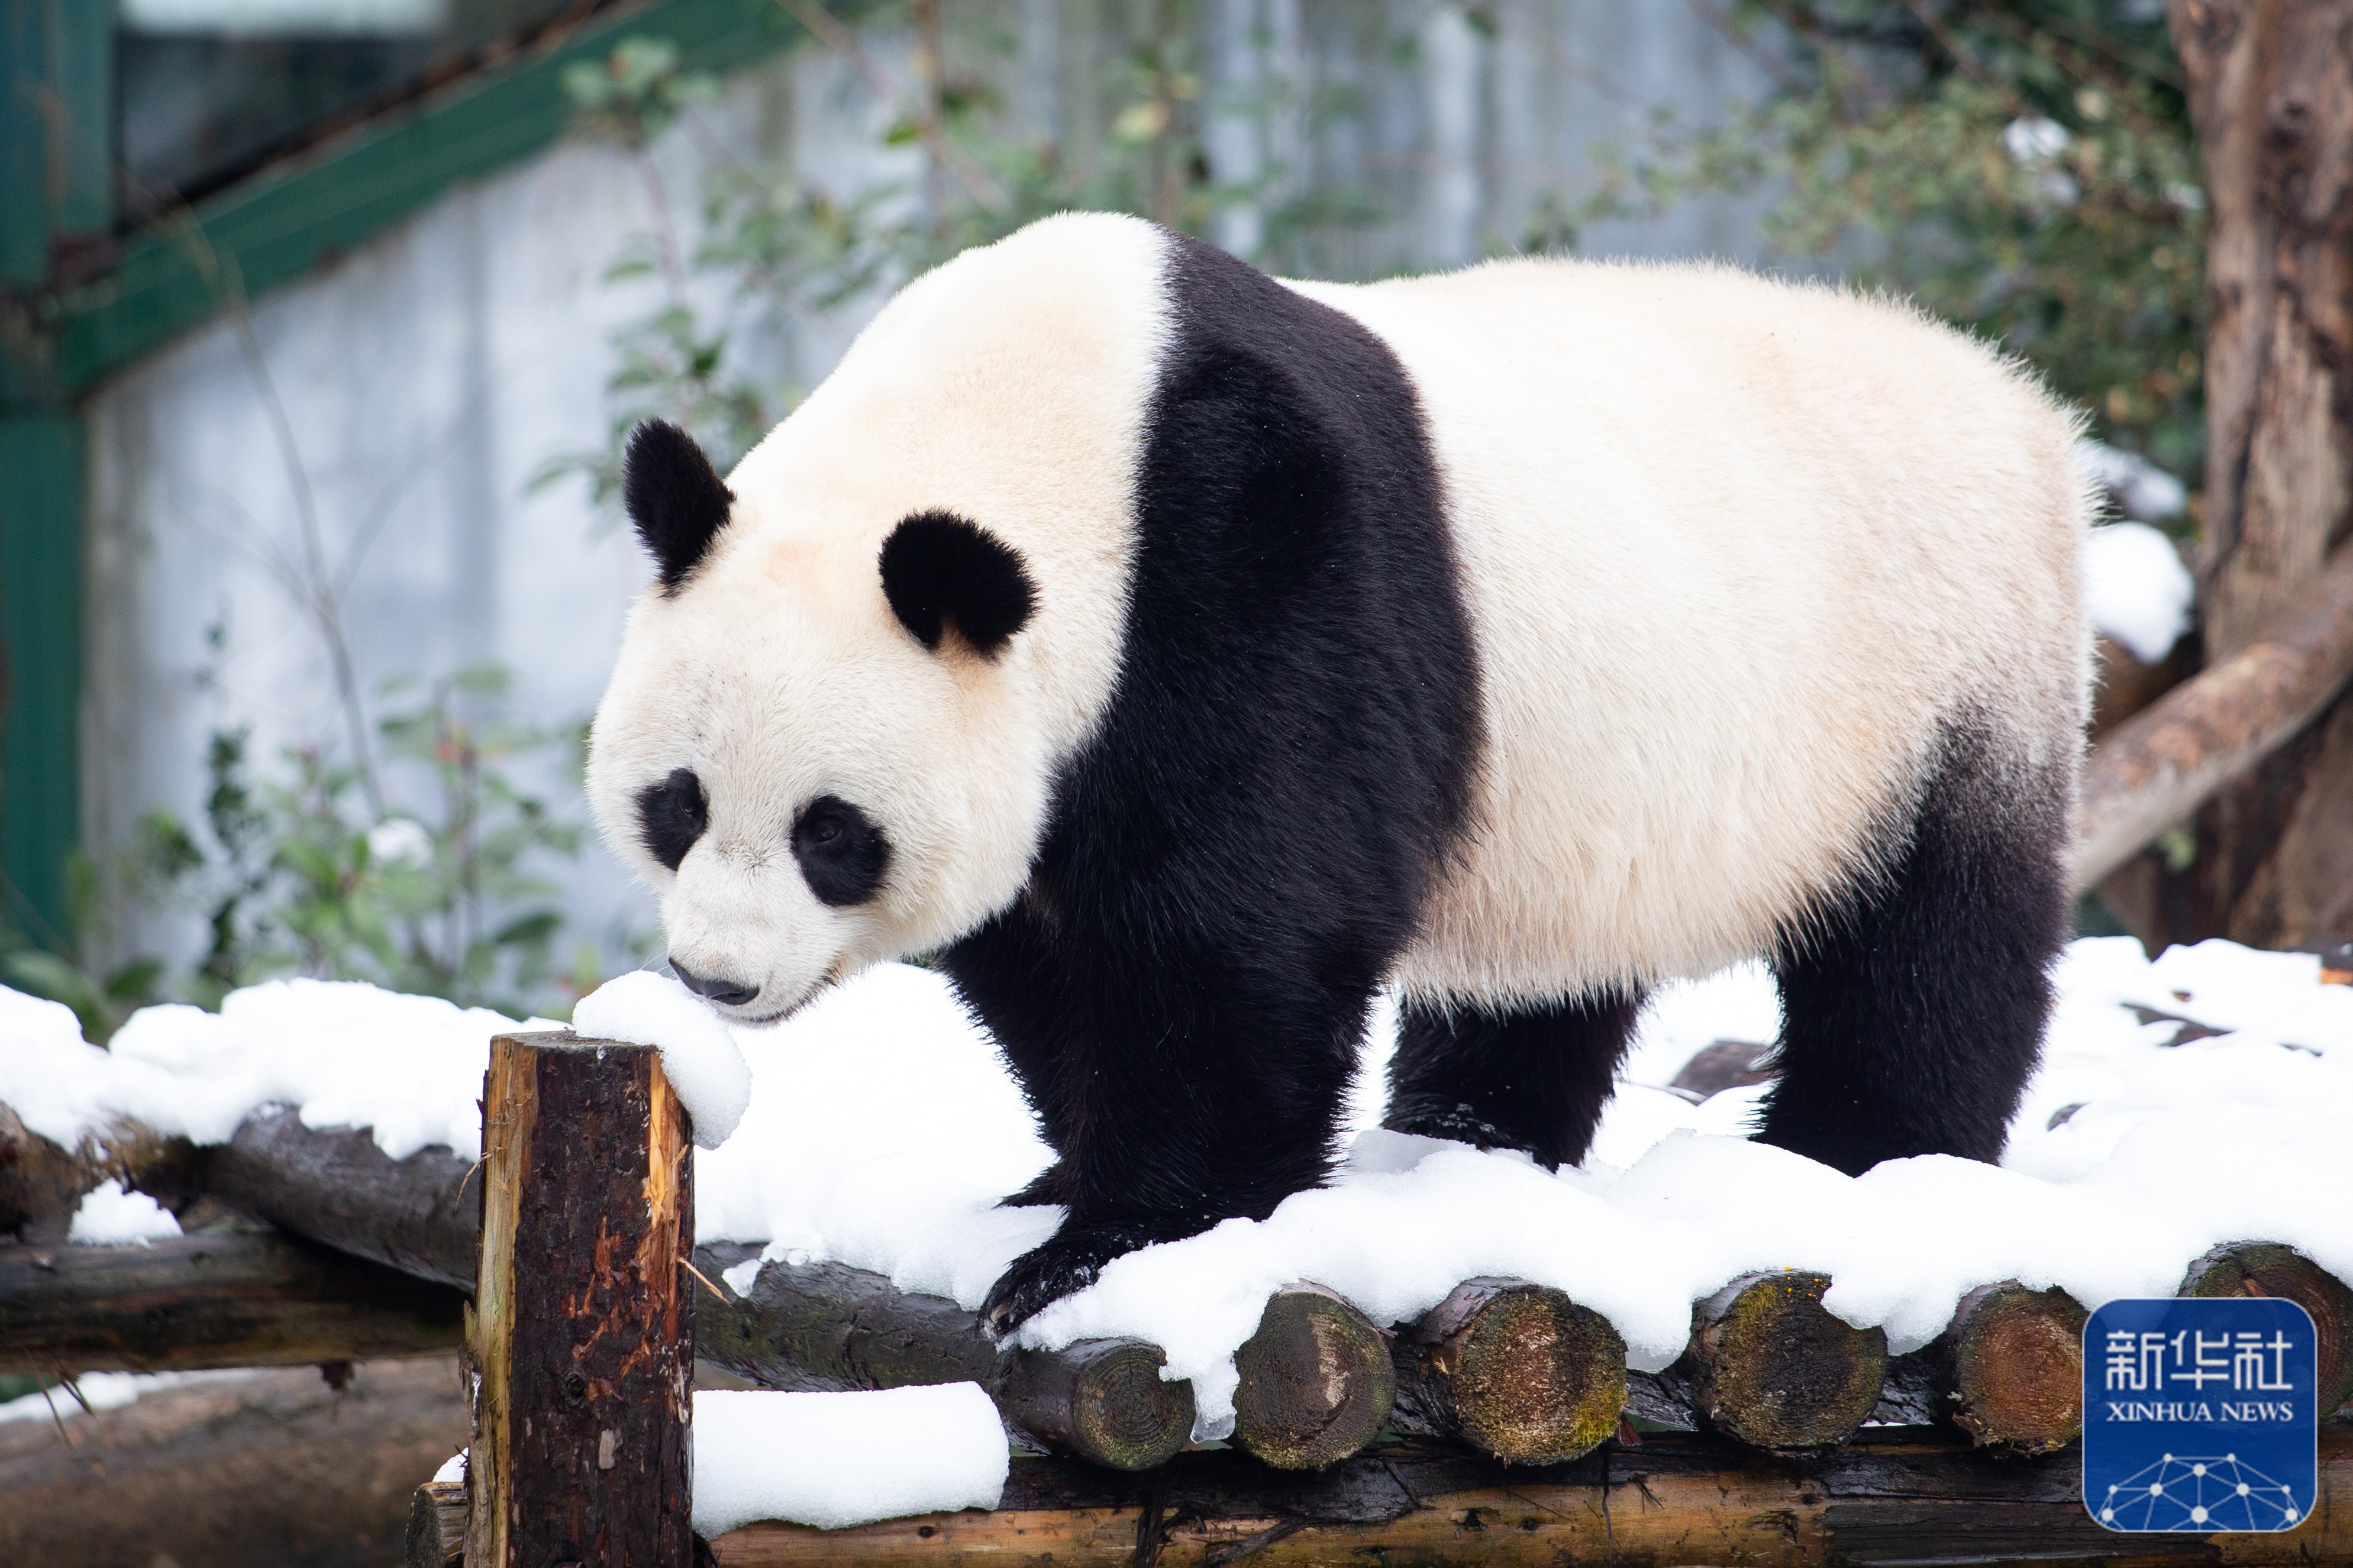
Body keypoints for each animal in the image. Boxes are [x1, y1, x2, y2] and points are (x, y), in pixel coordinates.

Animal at [588, 208, 2099, 1335]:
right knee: (1546, 976)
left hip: (1947, 670)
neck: (1055, 419)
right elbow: (1044, 955)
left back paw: (1857, 1153)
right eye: (678, 804)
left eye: (831, 831)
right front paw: (1062, 1178)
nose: (722, 978)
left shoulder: (1249, 555)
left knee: (1929, 942)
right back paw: (1472, 1132)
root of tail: (2024, 405)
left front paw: (1121, 1237)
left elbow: (1244, 926)